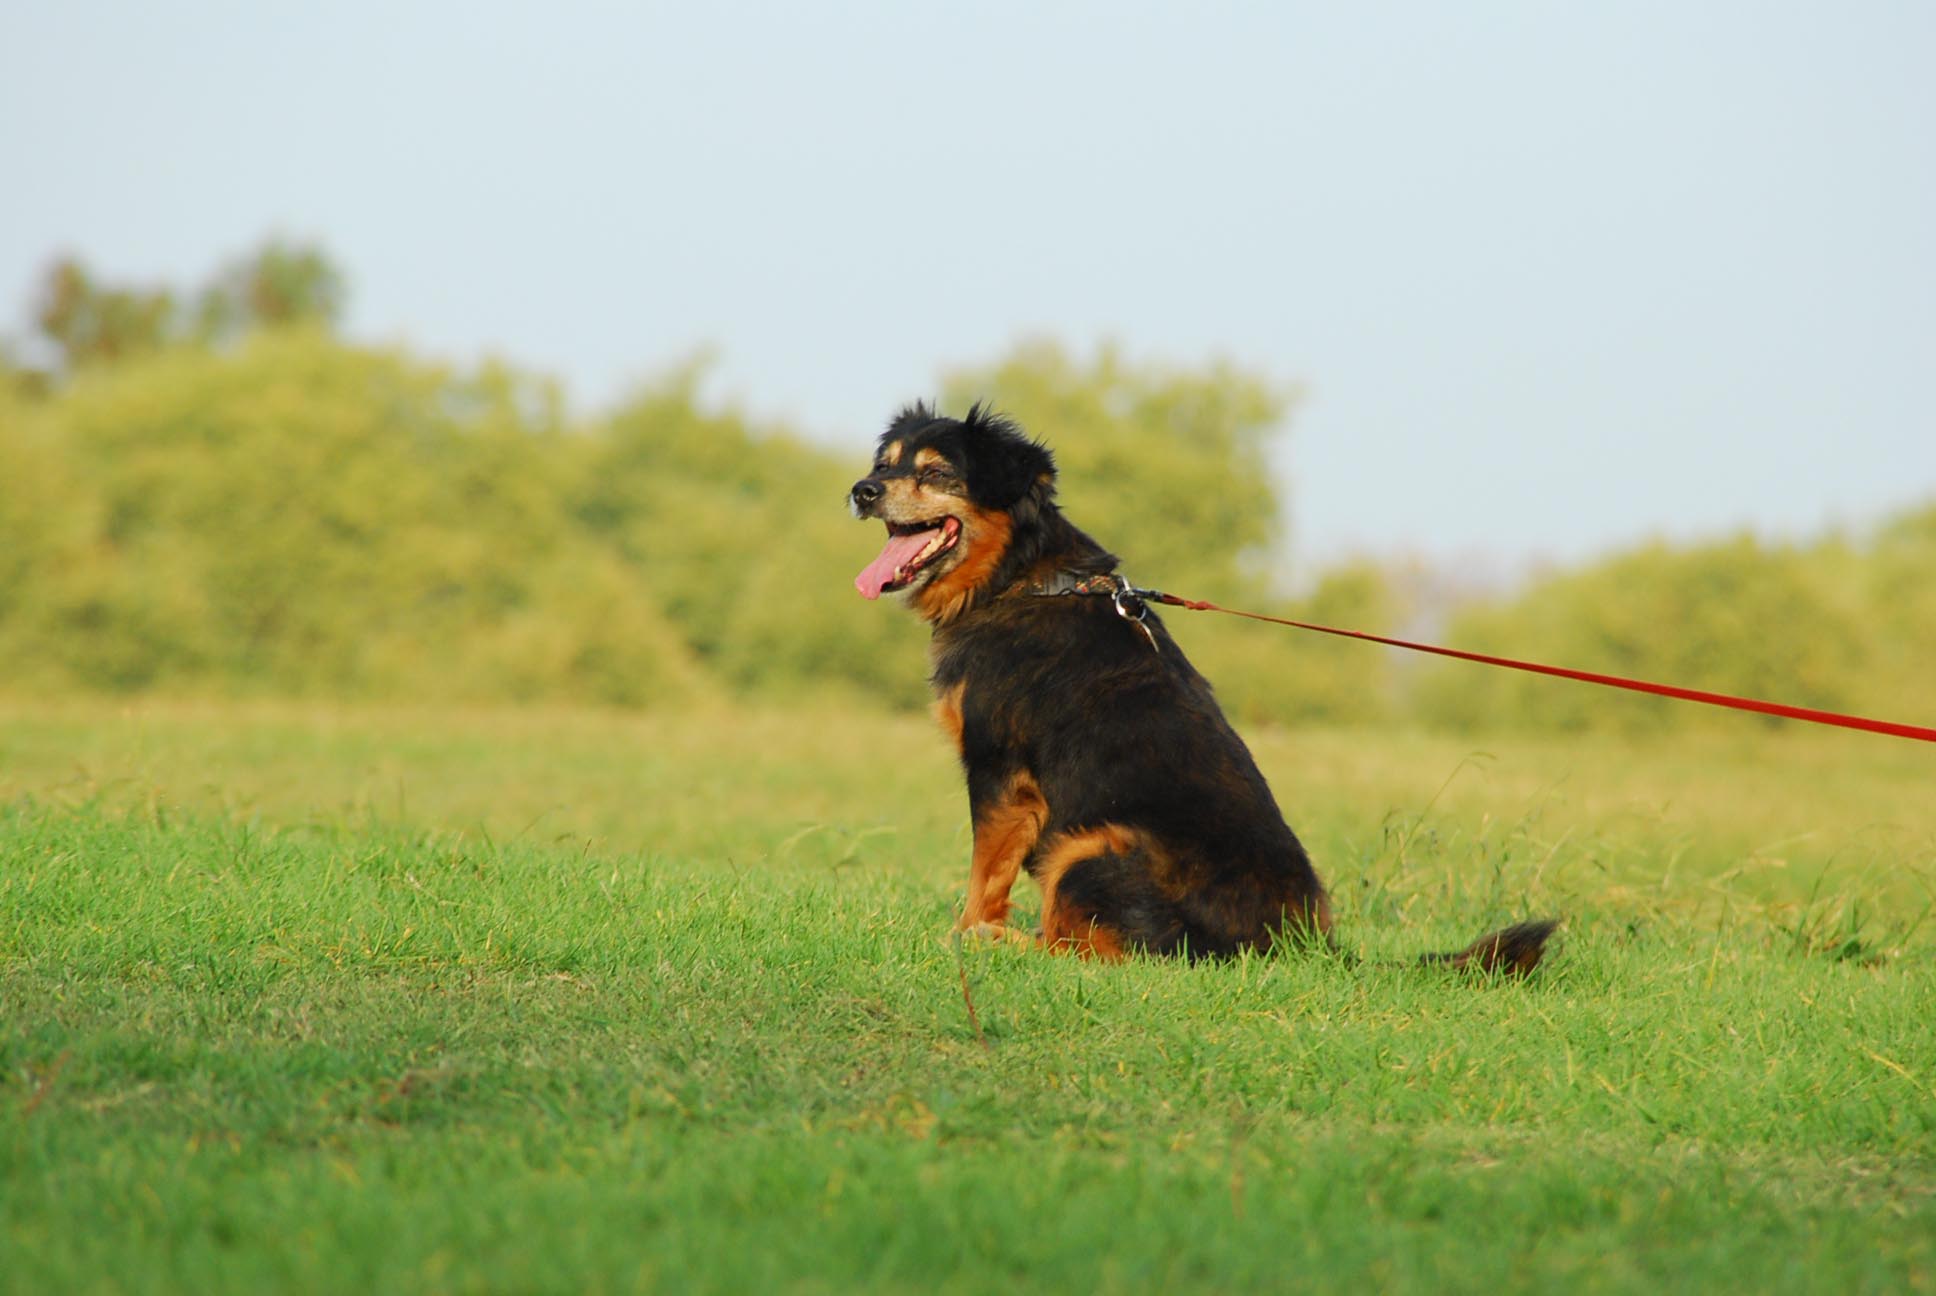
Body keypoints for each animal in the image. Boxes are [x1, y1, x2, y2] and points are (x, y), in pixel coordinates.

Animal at [847, 404, 1556, 968]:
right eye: (885, 463)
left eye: (937, 473)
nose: (862, 490)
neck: (1020, 578)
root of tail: (1307, 946)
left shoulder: (998, 769)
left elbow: (983, 874)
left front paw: (964, 933)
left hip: (1087, 851)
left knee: (1094, 952)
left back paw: (1005, 941)